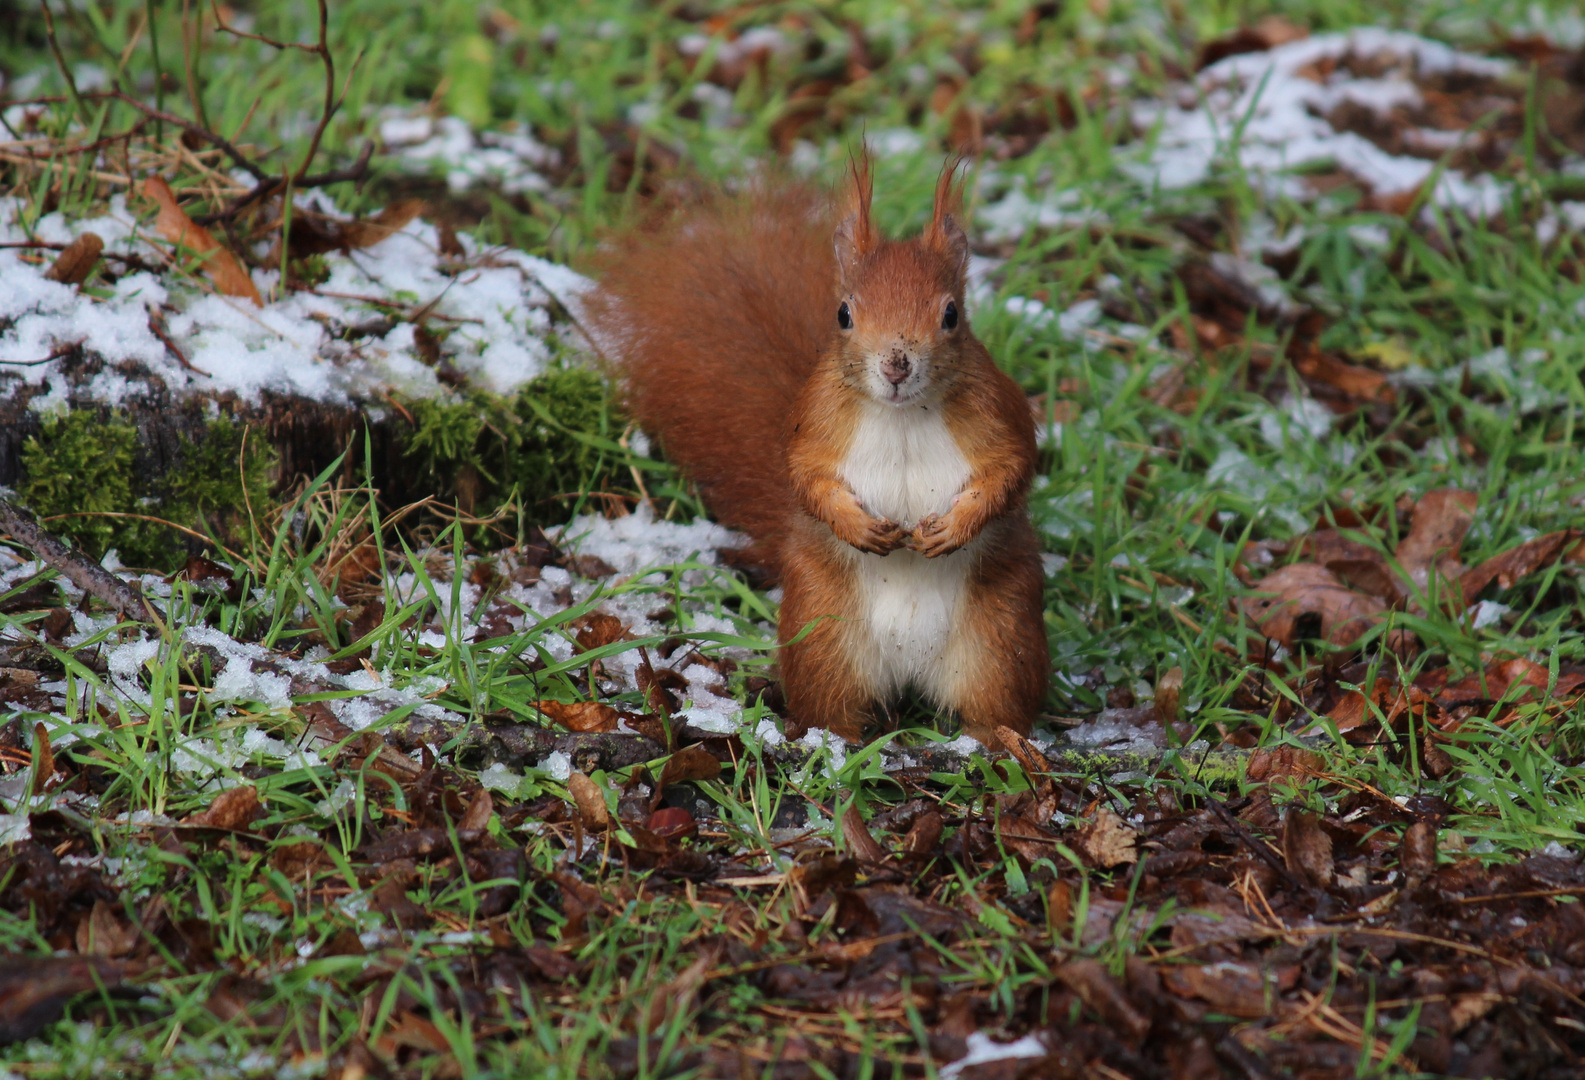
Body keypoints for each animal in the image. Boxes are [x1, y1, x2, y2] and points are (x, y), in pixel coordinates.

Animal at [589, 153, 1046, 742]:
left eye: (951, 315)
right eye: (844, 314)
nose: (897, 365)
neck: (902, 414)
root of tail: (910, 666)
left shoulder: (998, 413)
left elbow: (1011, 471)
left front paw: (954, 528)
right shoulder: (814, 423)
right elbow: (804, 477)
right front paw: (857, 526)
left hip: (1001, 638)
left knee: (996, 708)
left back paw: (1001, 746)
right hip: (823, 634)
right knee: (832, 704)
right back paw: (835, 742)